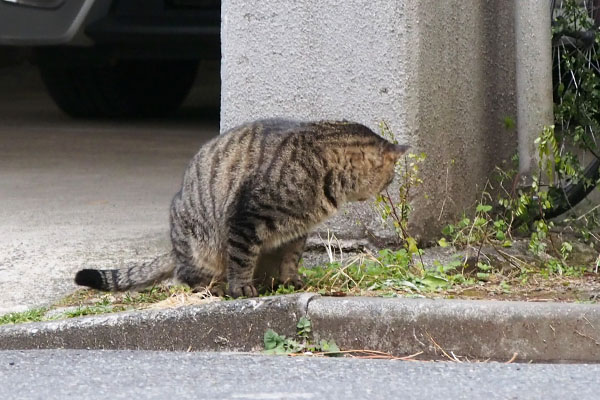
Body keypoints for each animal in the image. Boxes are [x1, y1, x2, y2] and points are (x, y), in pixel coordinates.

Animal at [76, 119, 408, 296]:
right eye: (390, 176)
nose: (390, 184)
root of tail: (174, 246)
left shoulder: (296, 232)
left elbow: (291, 258)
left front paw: (291, 280)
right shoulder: (246, 219)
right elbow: (241, 259)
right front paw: (242, 289)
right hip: (199, 246)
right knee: (184, 273)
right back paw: (212, 286)